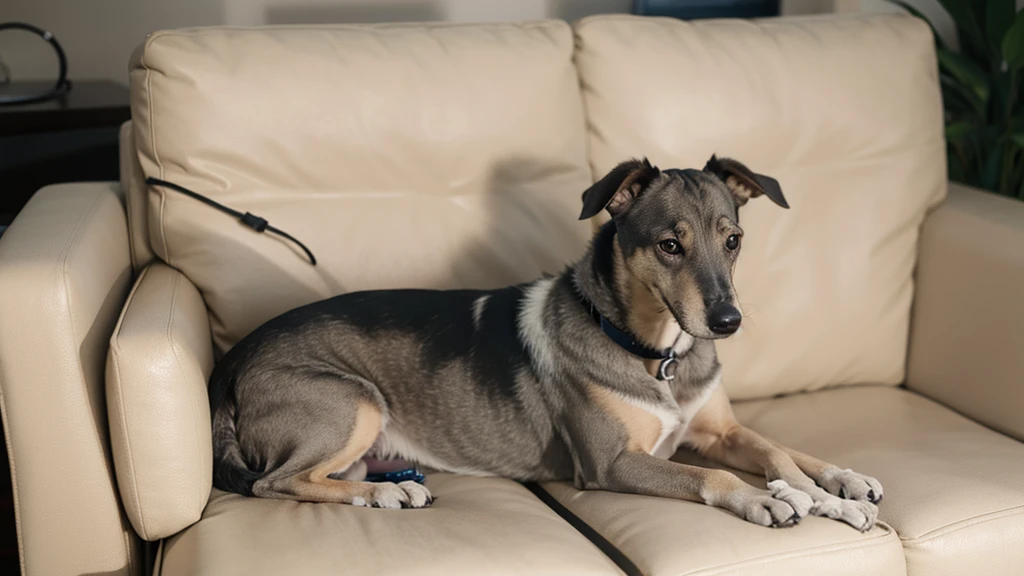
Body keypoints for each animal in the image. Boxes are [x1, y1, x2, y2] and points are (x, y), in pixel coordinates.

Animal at [207, 153, 880, 528]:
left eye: (732, 239)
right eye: (670, 245)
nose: (728, 322)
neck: (655, 353)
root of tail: (230, 361)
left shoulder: (720, 431)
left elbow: (781, 454)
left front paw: (837, 488)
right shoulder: (612, 463)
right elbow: (713, 477)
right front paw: (765, 500)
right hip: (356, 402)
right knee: (274, 482)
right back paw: (386, 496)